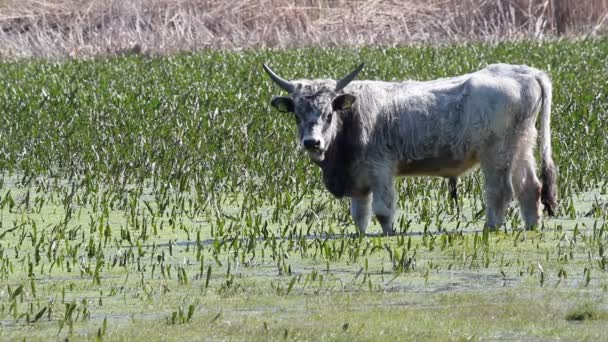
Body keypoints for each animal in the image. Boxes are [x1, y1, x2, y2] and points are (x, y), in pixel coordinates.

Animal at [264, 62, 560, 235]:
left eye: (328, 114)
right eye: (297, 115)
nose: (312, 142)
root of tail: (526, 71)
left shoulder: (380, 170)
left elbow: (382, 211)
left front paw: (389, 234)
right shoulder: (358, 180)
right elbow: (359, 215)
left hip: (496, 154)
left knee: (500, 191)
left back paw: (491, 227)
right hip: (522, 145)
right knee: (529, 187)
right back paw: (532, 226)